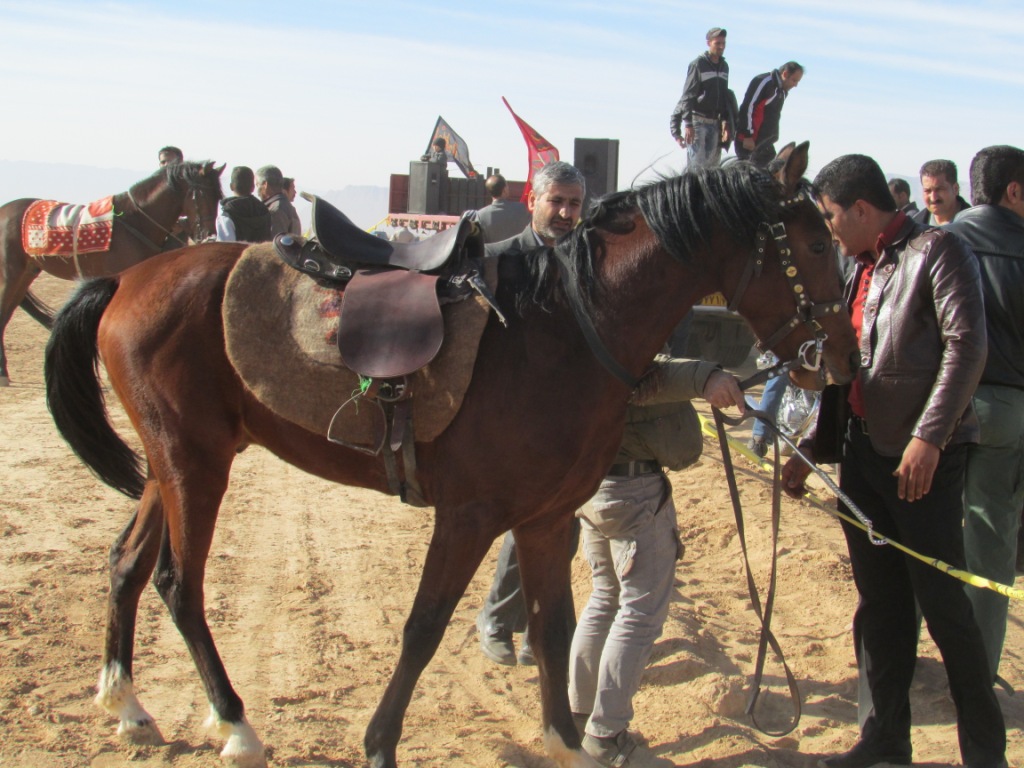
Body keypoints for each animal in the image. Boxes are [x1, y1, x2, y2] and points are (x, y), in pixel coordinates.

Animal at [0, 161, 224, 385]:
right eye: (203, 193)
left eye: (218, 196)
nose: (209, 235)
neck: (135, 223)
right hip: (10, 275)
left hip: (25, 275)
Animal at [41, 144, 856, 768]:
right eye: (818, 245)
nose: (840, 360)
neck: (565, 328)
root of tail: (130, 277)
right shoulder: (467, 517)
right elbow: (424, 628)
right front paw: (379, 743)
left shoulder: (546, 520)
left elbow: (553, 630)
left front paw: (566, 741)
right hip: (195, 465)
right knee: (180, 585)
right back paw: (236, 724)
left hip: (176, 460)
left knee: (127, 564)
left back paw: (127, 704)